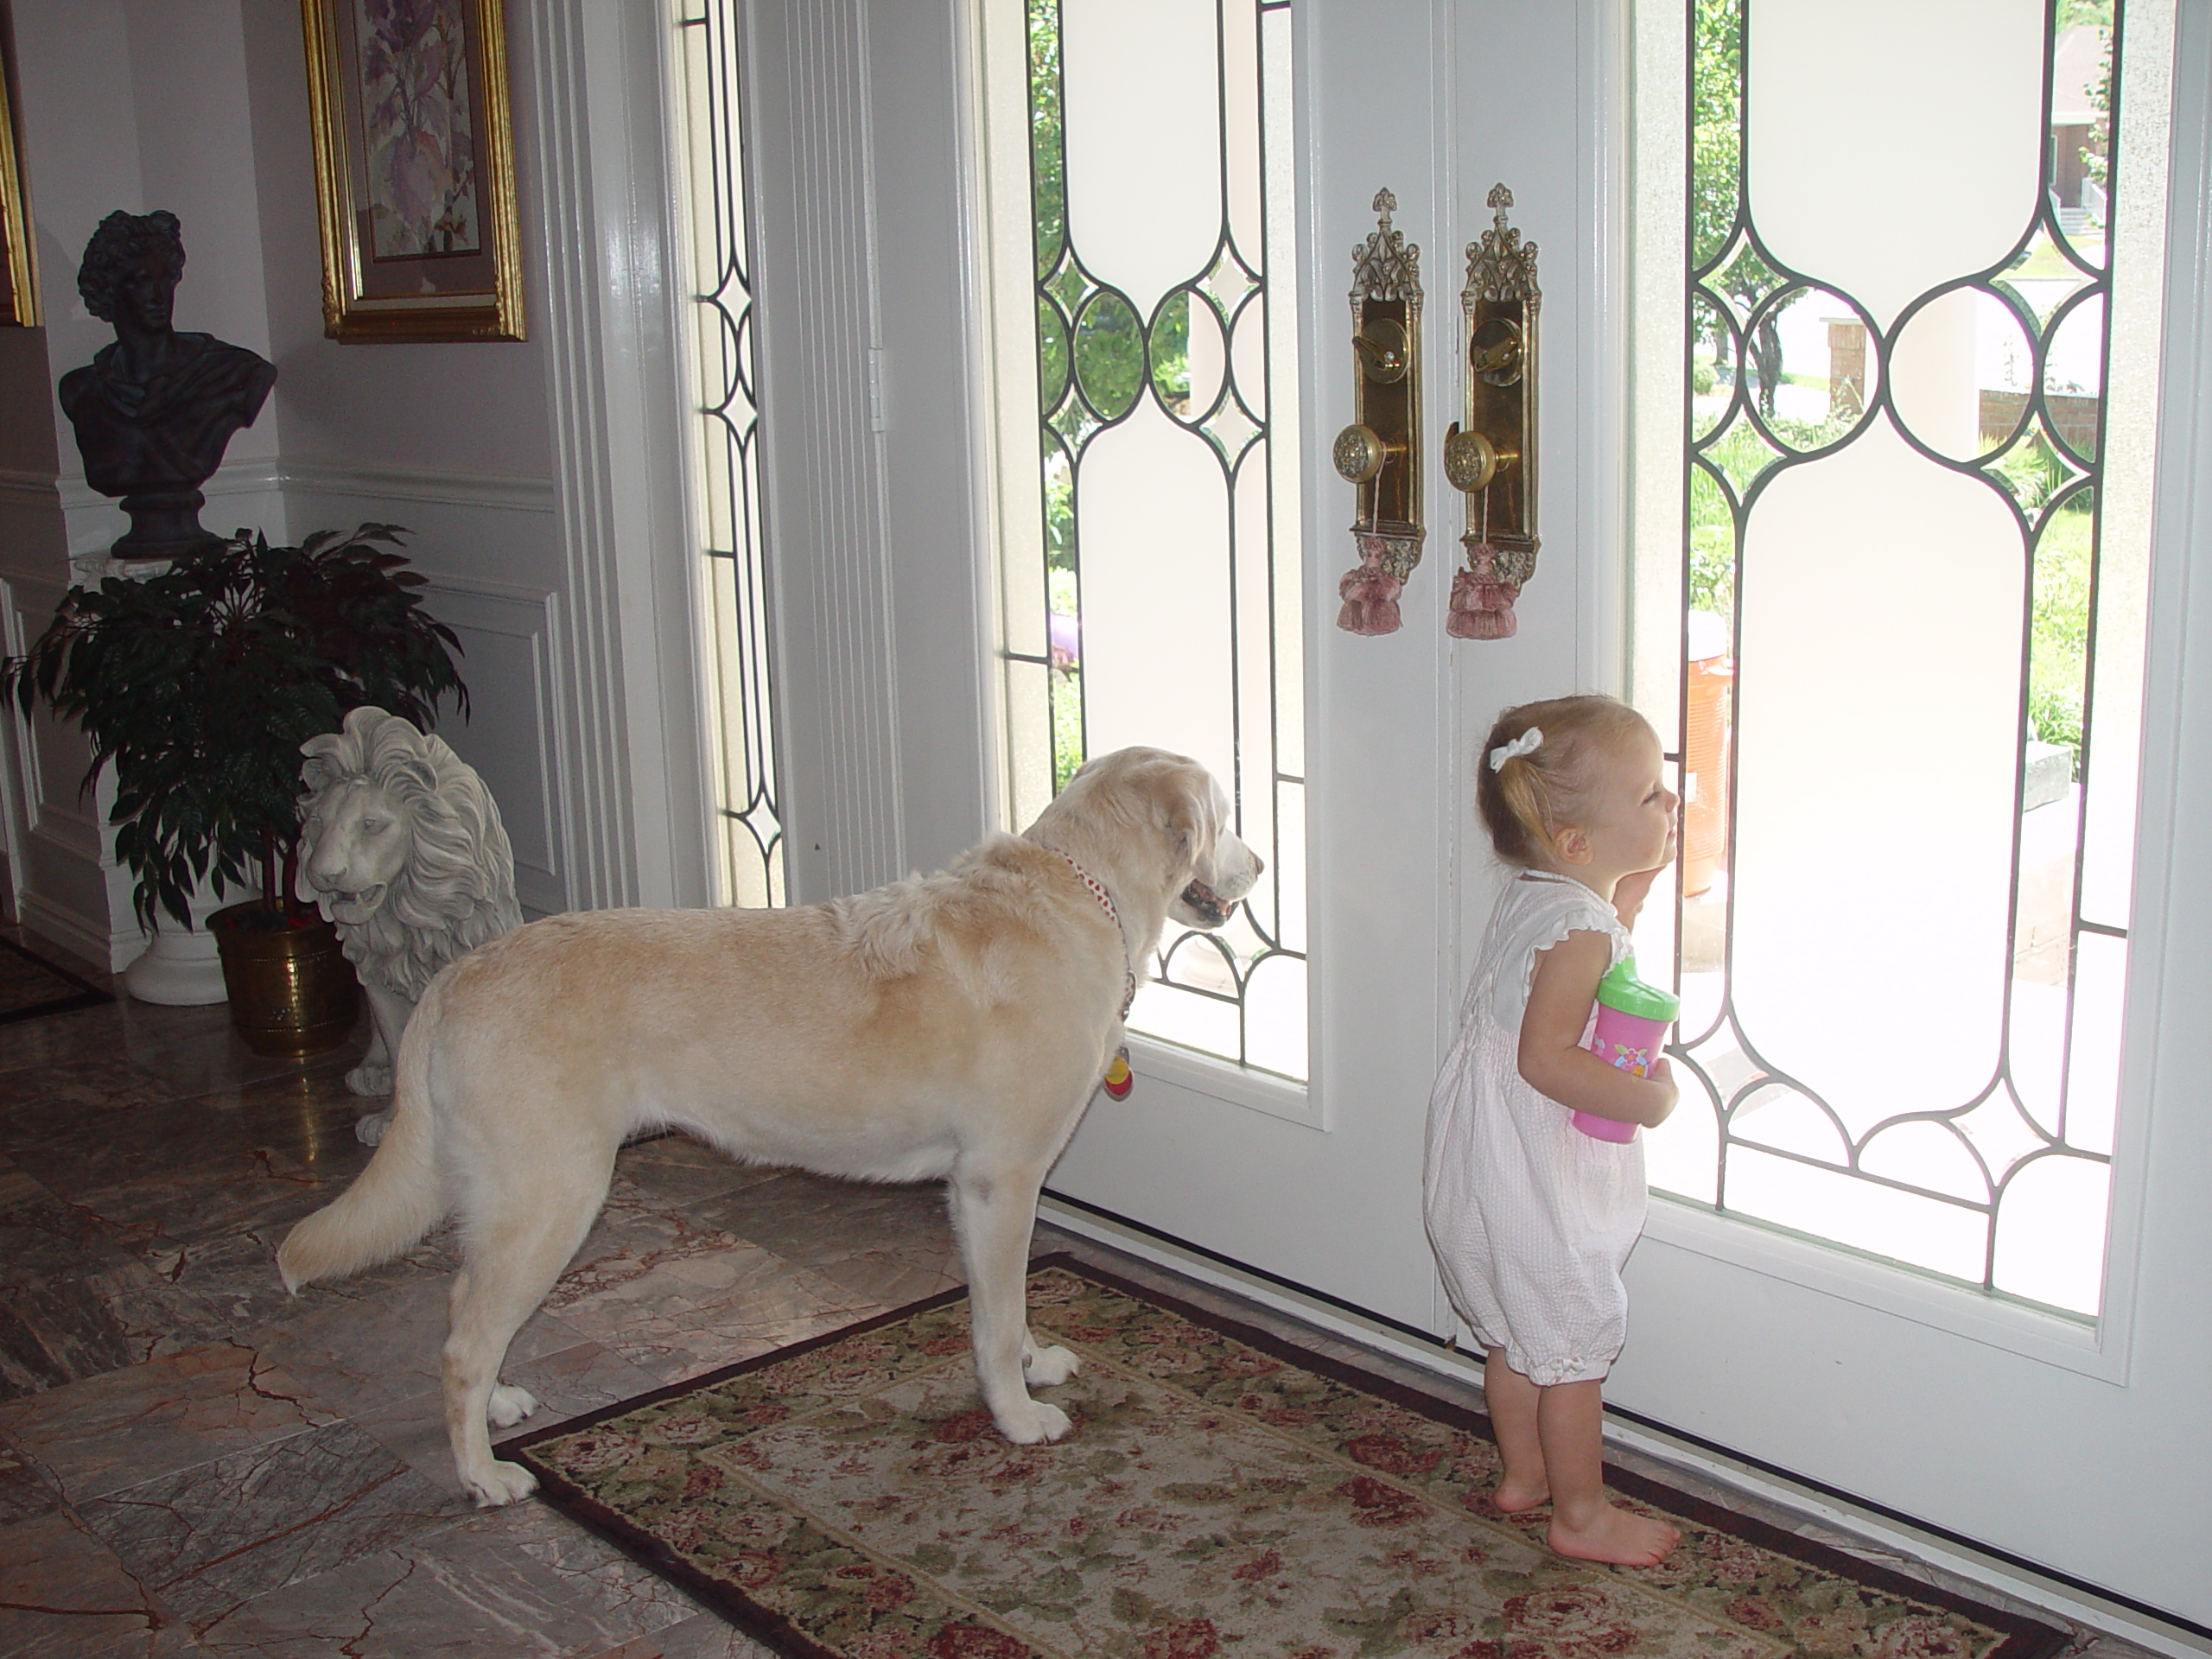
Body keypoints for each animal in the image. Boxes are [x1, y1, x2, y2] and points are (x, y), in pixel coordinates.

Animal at [281, 752, 1265, 1503]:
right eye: (1223, 818)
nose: (1259, 868)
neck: (1077, 892)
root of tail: (456, 977)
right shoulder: (1000, 1183)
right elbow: (993, 1321)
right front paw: (1017, 1416)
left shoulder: (985, 1195)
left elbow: (1012, 1306)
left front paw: (1033, 1367)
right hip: (550, 1202)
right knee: (461, 1346)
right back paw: (484, 1476)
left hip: (507, 1207)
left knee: (460, 1313)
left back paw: (499, 1411)